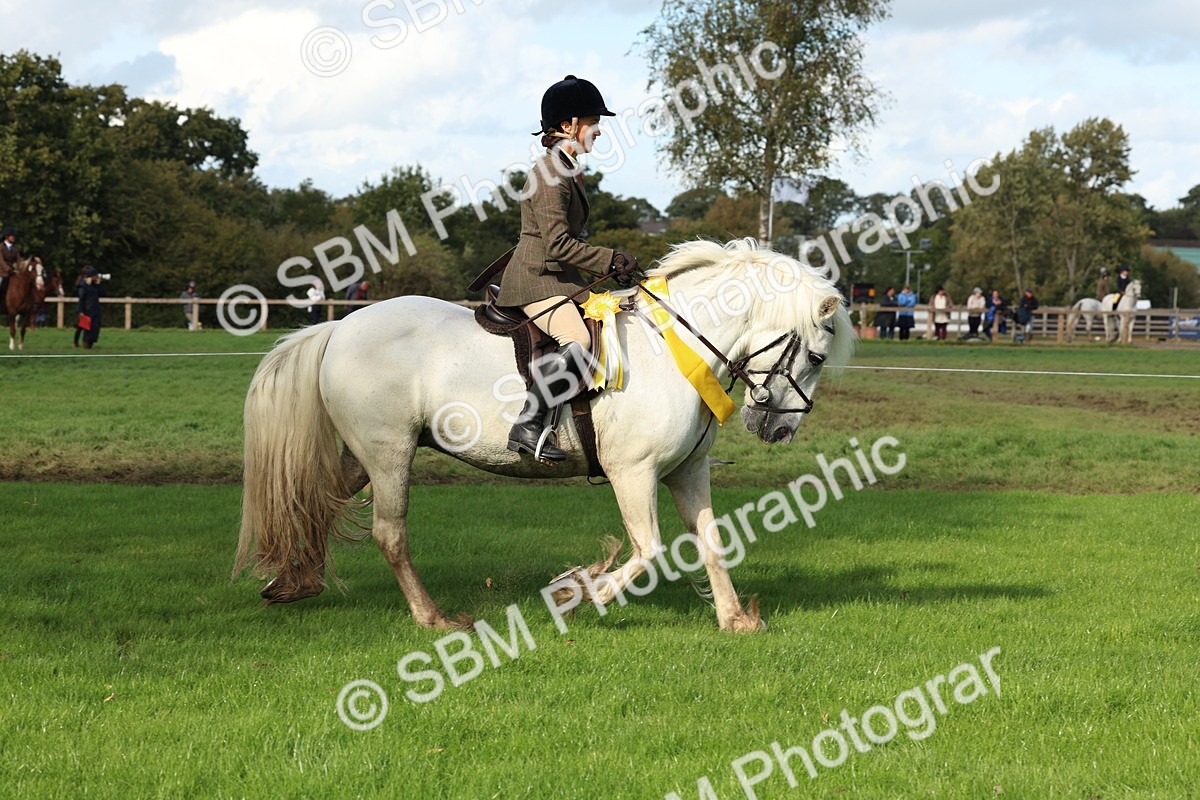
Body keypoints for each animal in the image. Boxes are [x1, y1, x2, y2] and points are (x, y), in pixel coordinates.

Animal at [233, 238, 855, 632]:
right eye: (817, 357)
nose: (779, 429)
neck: (676, 346)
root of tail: (339, 326)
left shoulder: (686, 471)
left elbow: (711, 542)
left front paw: (734, 619)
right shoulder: (633, 472)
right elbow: (649, 550)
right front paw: (573, 594)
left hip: (363, 455)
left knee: (317, 500)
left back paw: (293, 582)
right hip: (389, 453)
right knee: (389, 533)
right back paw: (433, 618)